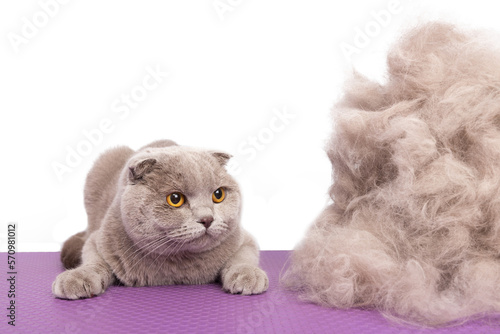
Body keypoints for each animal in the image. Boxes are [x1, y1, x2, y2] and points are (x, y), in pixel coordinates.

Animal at [52, 140, 268, 298]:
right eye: (175, 199)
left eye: (218, 195)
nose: (207, 219)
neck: (179, 265)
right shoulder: (97, 241)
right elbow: (93, 263)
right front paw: (77, 278)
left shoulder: (244, 239)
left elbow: (243, 258)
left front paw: (248, 276)